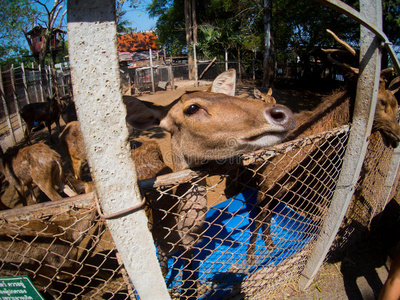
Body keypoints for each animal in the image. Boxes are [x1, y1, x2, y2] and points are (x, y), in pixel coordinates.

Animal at [245, 28, 400, 262]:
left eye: (396, 104)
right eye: (381, 101)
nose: (397, 137)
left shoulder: (285, 186)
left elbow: (268, 214)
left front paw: (269, 245)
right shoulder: (267, 182)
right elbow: (257, 217)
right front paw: (250, 256)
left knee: (268, 212)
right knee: (261, 212)